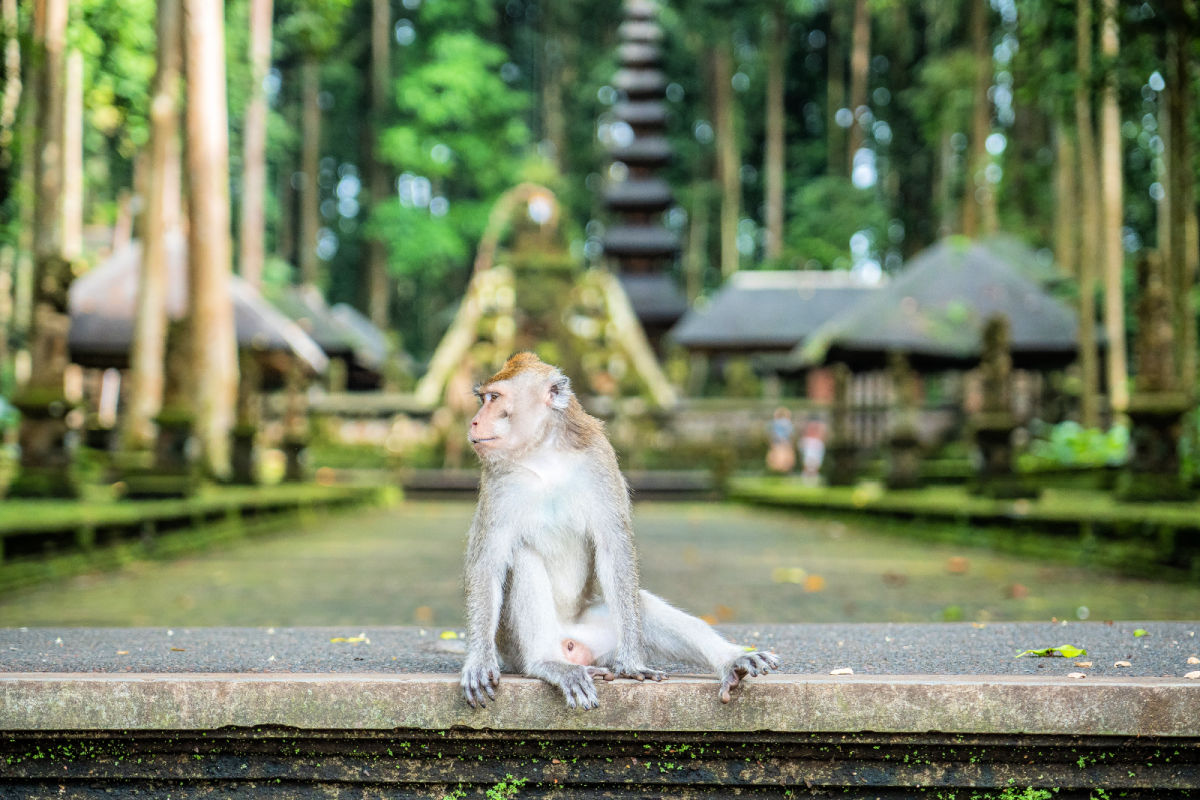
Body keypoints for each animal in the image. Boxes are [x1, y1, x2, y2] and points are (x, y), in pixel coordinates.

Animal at [458, 352, 777, 710]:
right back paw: (547, 663)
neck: (544, 456)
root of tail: (573, 644)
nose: (474, 422)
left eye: (494, 398)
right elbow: (488, 563)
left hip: (601, 632)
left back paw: (732, 661)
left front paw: (633, 663)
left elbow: (614, 550)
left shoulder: (599, 460)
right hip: (516, 645)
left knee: (642, 606)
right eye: (483, 398)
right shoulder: (498, 482)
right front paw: (479, 661)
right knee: (524, 557)